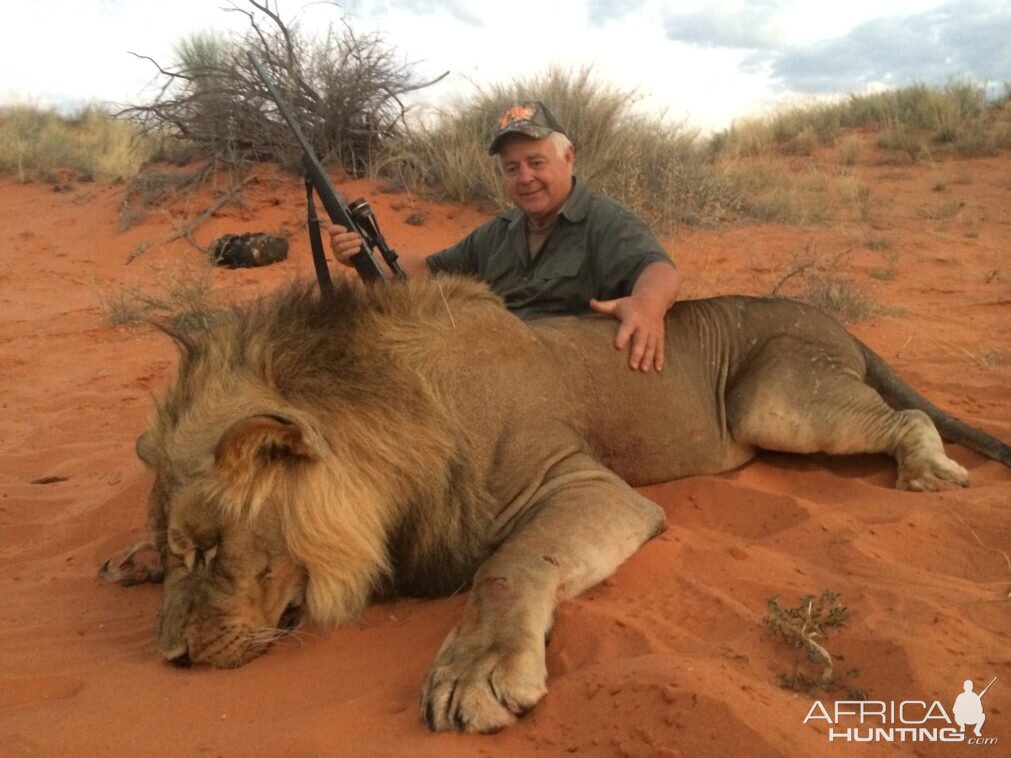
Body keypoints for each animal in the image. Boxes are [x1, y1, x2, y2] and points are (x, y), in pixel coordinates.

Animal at [102, 276, 1011, 735]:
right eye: (181, 551)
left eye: (209, 550)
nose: (172, 659)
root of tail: (833, 317)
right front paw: (128, 557)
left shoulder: (582, 484)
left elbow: (507, 566)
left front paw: (474, 674)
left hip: (775, 400)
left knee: (907, 418)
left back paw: (927, 469)